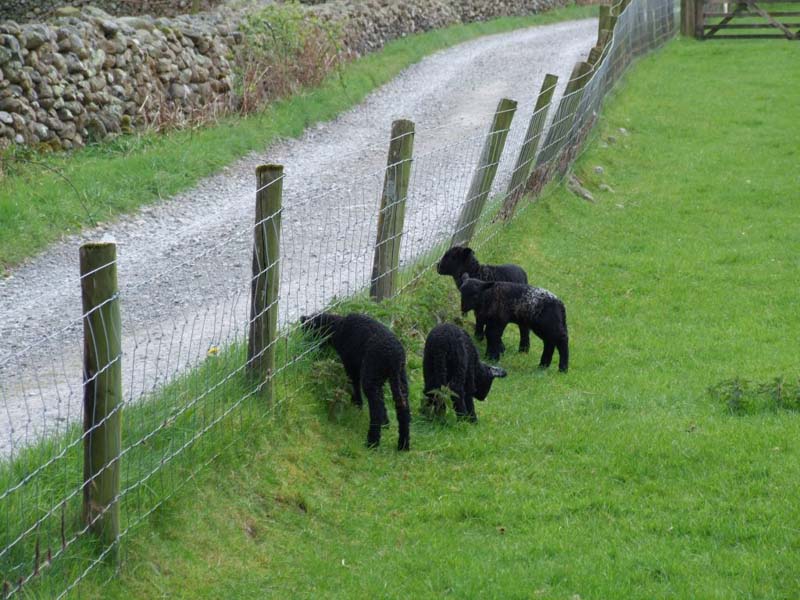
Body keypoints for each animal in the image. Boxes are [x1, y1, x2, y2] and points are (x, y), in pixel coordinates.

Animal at [302, 312, 412, 448]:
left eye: (310, 329)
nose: (305, 346)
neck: (338, 327)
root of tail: (395, 359)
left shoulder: (350, 364)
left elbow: (354, 383)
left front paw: (357, 404)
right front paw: (385, 422)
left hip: (371, 373)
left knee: (376, 407)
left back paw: (372, 442)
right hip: (399, 378)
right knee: (403, 409)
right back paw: (403, 445)